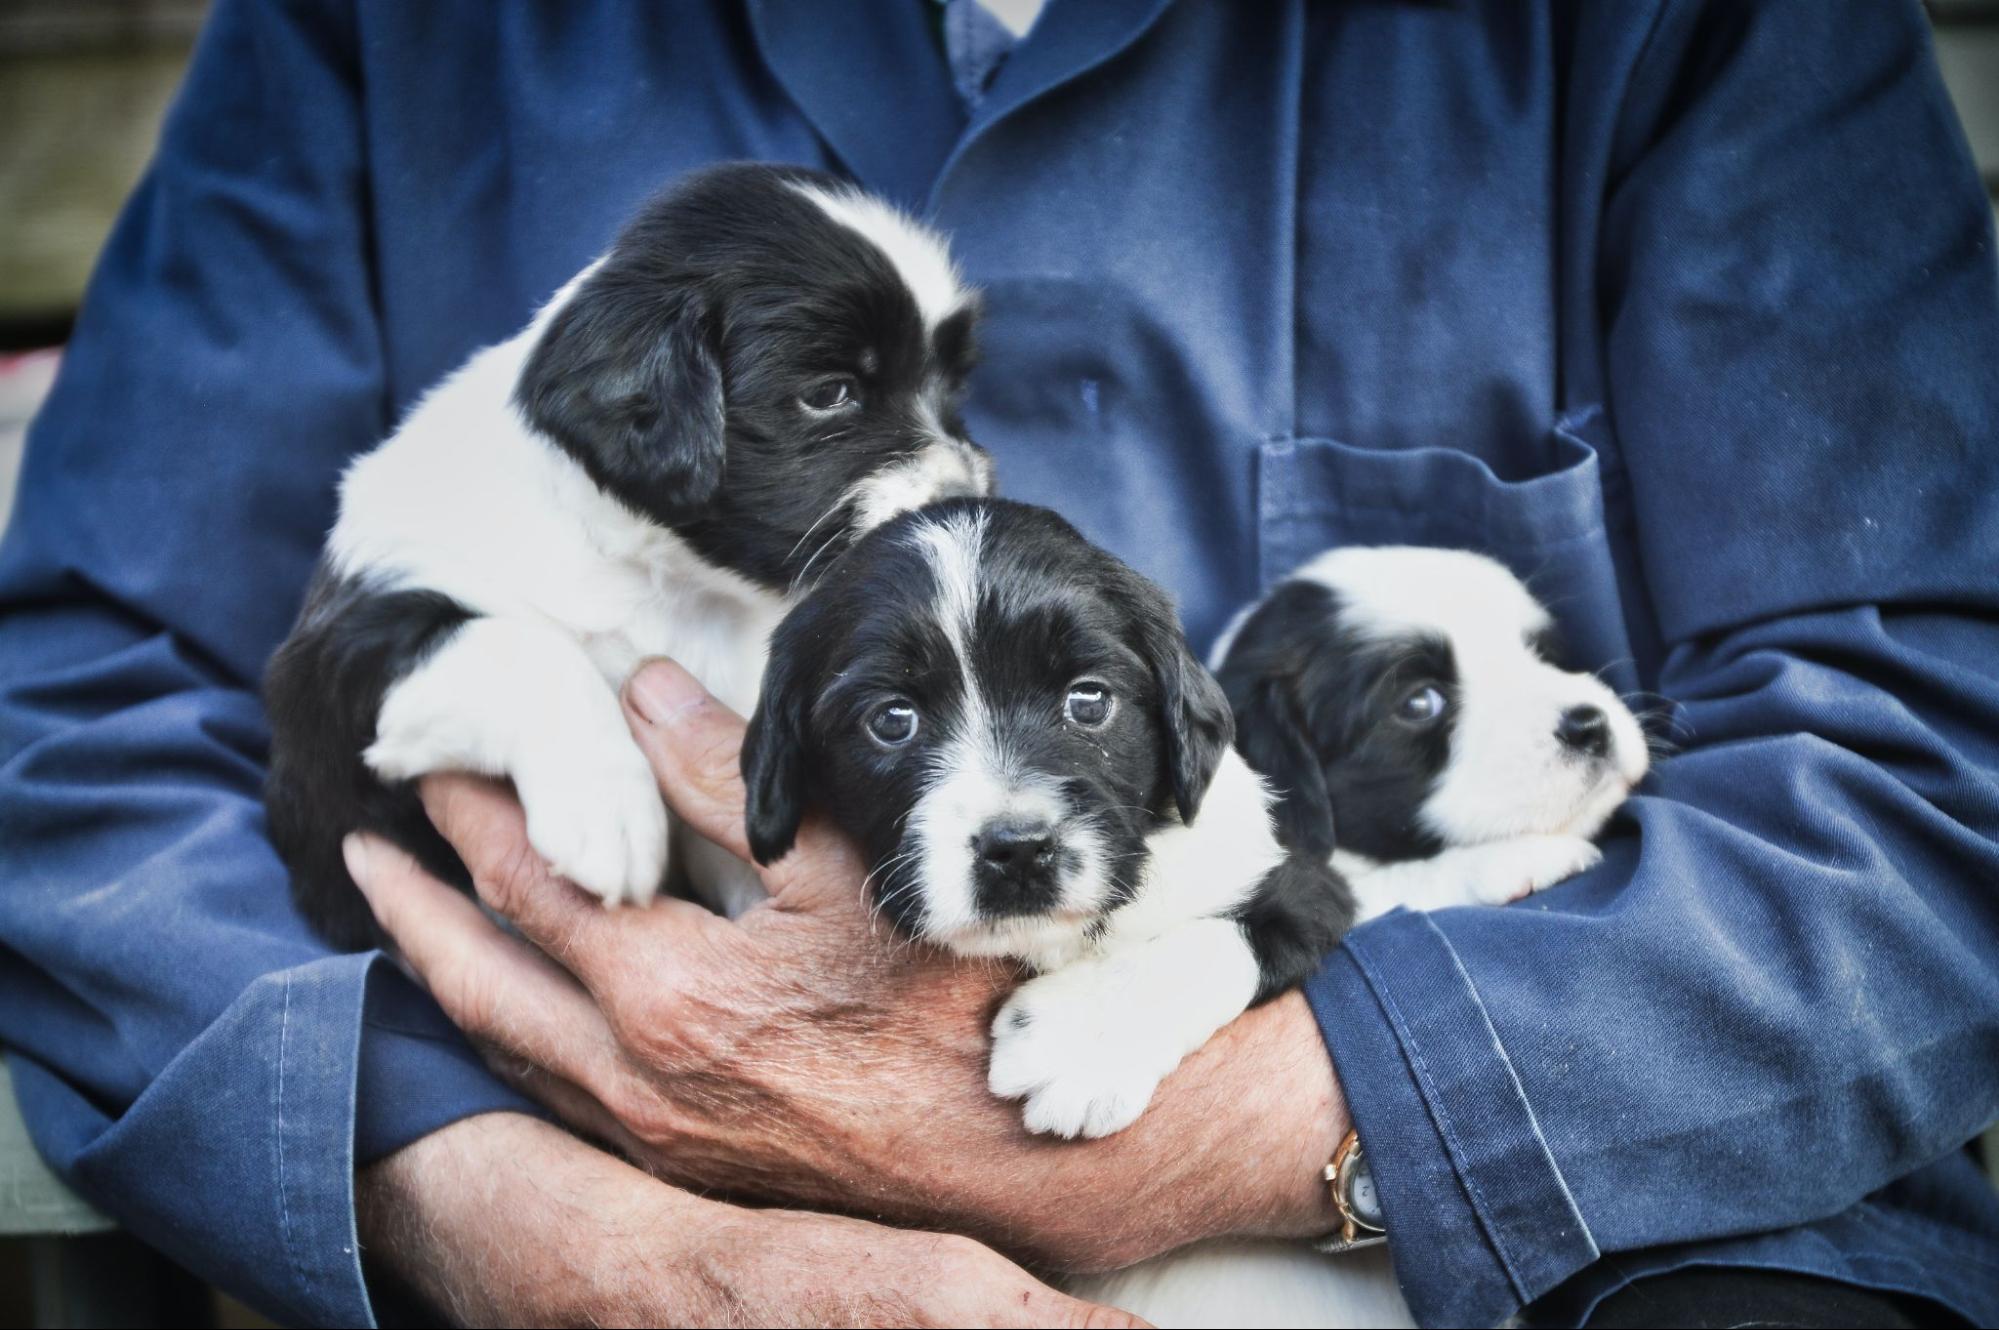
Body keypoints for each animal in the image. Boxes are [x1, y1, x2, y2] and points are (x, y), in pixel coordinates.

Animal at [261, 161, 995, 944]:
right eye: (831, 393)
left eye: (951, 388)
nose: (963, 501)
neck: (666, 581)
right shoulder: (330, 692)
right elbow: (525, 646)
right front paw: (605, 806)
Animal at [739, 492, 1359, 1136]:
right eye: (891, 719)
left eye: (1089, 700)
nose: (1018, 850)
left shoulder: (1305, 883)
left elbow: (1218, 939)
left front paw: (1080, 1042)